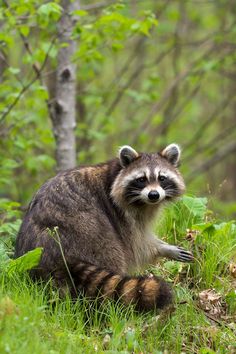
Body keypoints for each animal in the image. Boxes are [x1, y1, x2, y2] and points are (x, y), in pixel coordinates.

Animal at [15, 143, 195, 310]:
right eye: (141, 179)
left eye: (162, 178)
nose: (154, 195)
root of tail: (51, 249)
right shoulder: (122, 214)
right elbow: (138, 244)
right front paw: (162, 248)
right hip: (89, 232)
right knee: (110, 252)